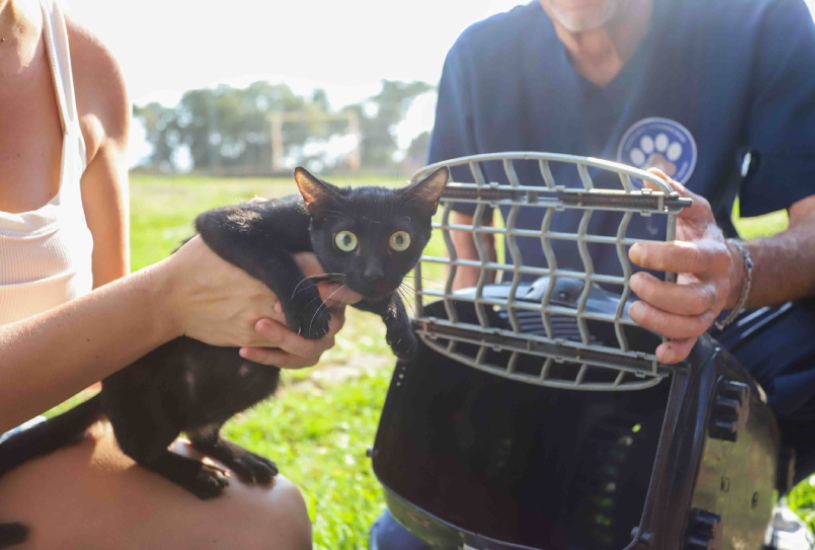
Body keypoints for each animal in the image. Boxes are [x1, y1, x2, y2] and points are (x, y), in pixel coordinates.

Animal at [0, 167, 450, 548]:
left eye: (400, 239)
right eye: (346, 239)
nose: (374, 273)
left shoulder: (349, 285)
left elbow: (372, 295)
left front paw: (402, 330)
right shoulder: (227, 222)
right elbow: (275, 258)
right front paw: (308, 308)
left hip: (257, 378)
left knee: (200, 431)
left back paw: (242, 460)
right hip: (146, 397)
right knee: (137, 450)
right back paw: (196, 475)